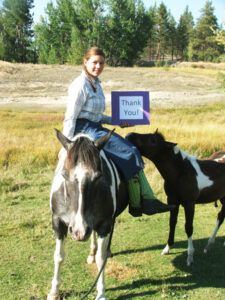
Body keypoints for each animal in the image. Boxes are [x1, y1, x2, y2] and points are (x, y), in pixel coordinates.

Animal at [47, 130, 128, 300]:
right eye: (64, 175)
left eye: (98, 177)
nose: (79, 231)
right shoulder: (58, 222)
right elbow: (59, 256)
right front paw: (54, 291)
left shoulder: (104, 223)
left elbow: (101, 258)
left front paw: (101, 293)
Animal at [126, 130, 225, 266]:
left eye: (153, 140)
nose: (129, 135)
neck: (181, 172)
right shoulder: (173, 201)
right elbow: (172, 223)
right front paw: (167, 248)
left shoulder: (189, 204)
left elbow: (188, 227)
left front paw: (190, 256)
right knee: (221, 217)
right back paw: (209, 246)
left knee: (220, 217)